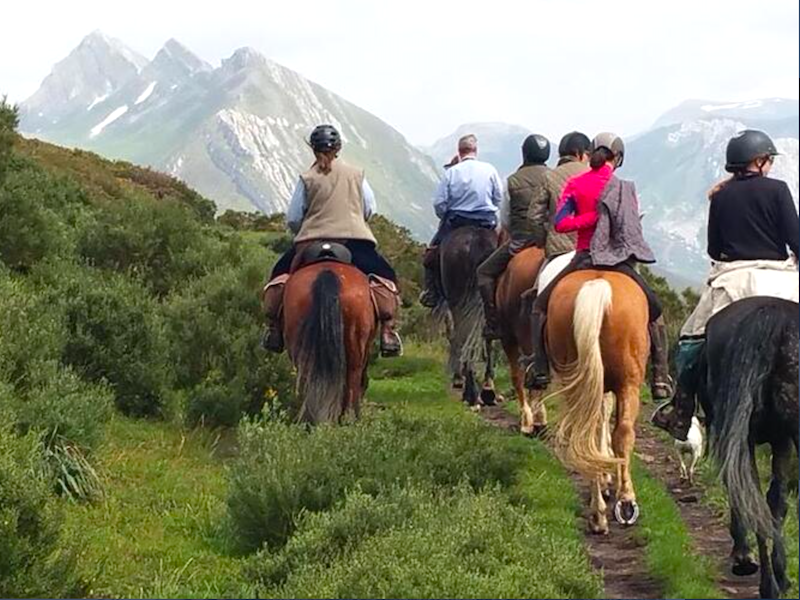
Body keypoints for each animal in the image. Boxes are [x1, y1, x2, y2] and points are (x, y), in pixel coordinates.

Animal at [438, 226, 500, 408]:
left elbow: (456, 337)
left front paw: (459, 377)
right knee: (488, 337)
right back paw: (487, 389)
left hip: (458, 300)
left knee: (464, 335)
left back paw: (470, 392)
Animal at [544, 270, 648, 532]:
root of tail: (597, 286)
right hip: (627, 382)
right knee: (619, 433)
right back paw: (619, 503)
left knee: (586, 436)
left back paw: (602, 512)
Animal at [652, 298, 796, 596]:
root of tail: (769, 315)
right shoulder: (780, 440)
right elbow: (775, 502)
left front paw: (743, 555)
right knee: (766, 501)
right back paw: (772, 582)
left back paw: (760, 576)